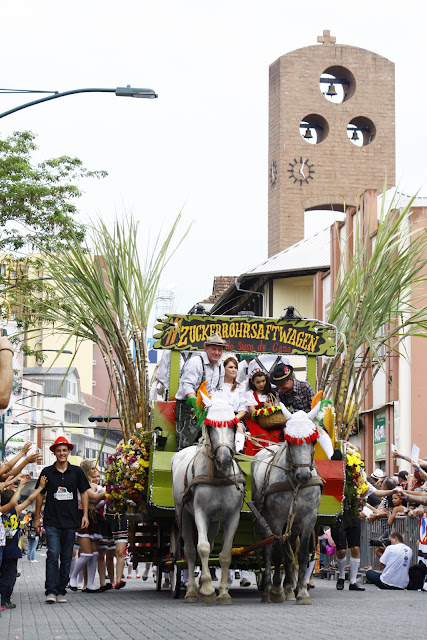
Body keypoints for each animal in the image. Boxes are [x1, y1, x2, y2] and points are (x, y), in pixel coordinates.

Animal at [171, 392, 245, 604]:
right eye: (211, 426)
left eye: (233, 425)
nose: (224, 459)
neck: (219, 477)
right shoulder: (200, 513)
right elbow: (201, 548)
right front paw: (206, 590)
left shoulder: (232, 516)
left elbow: (224, 553)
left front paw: (223, 592)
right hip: (183, 514)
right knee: (189, 550)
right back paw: (191, 590)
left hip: (214, 522)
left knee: (210, 544)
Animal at [251, 403, 323, 605]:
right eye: (289, 441)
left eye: (314, 440)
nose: (304, 475)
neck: (295, 483)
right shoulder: (276, 519)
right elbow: (276, 553)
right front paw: (276, 590)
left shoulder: (308, 519)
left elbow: (302, 553)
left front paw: (302, 592)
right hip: (264, 517)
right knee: (268, 548)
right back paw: (269, 588)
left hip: (294, 522)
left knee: (290, 546)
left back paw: (290, 588)